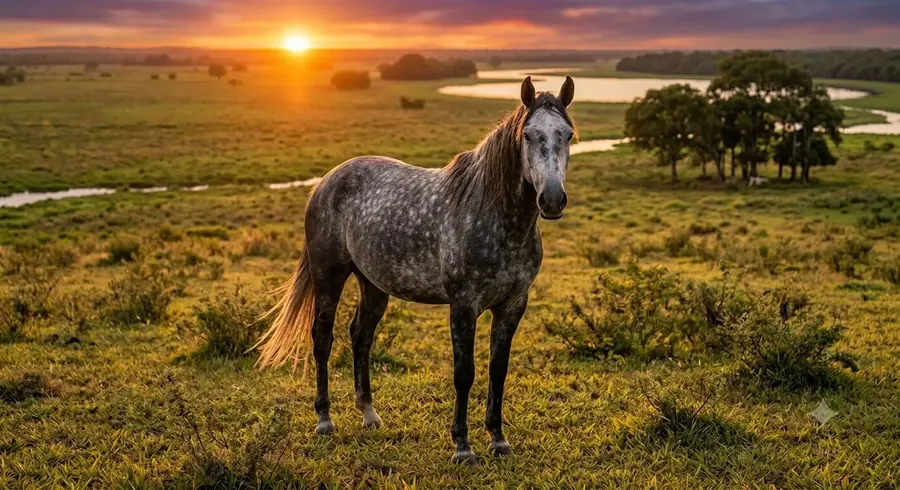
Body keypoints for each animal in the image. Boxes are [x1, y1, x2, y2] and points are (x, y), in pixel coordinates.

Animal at [255, 75, 576, 464]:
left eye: (568, 134)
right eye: (528, 135)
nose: (552, 200)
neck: (497, 220)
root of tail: (325, 182)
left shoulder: (513, 304)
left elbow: (497, 371)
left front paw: (498, 440)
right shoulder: (464, 305)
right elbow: (464, 373)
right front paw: (462, 447)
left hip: (373, 285)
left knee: (360, 336)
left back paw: (369, 413)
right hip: (328, 276)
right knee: (322, 339)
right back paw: (324, 420)